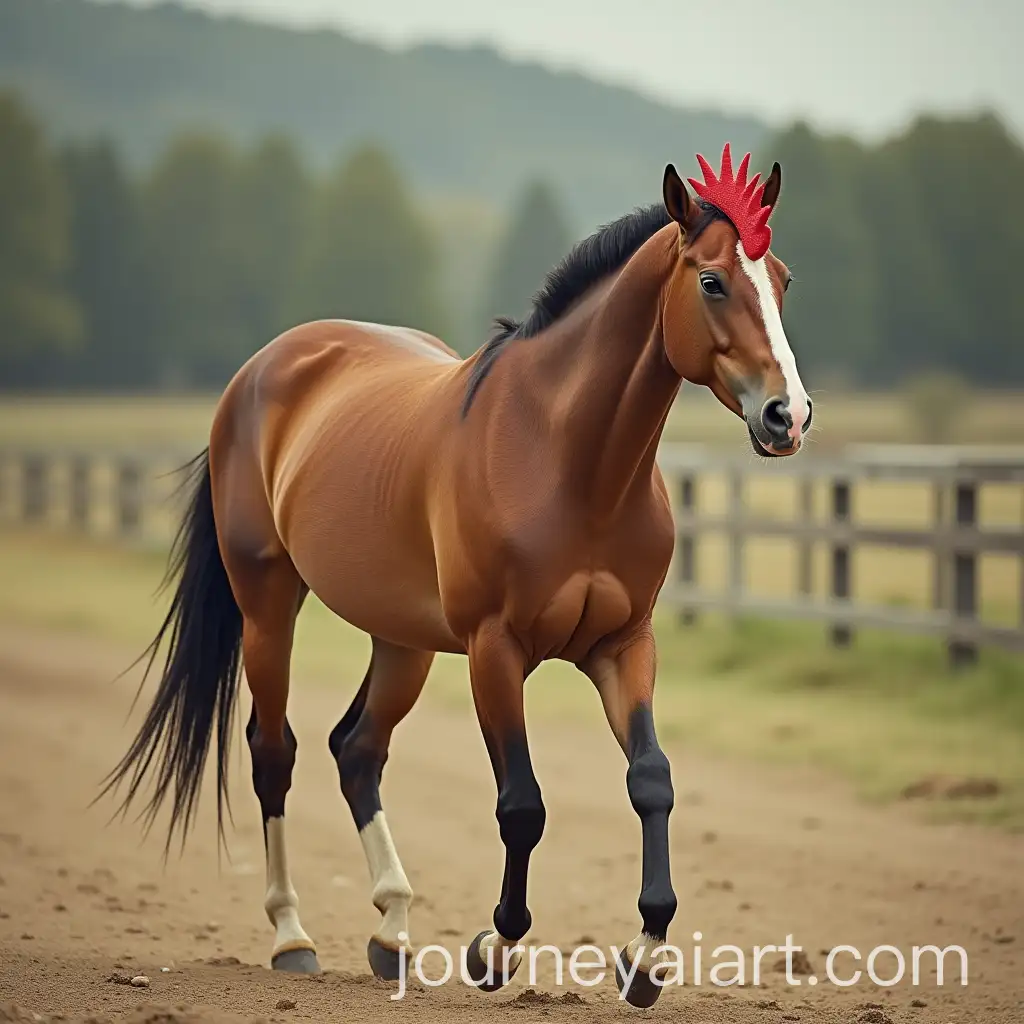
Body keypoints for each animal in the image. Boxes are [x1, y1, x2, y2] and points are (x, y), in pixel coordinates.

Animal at [103, 143, 811, 1007]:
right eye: (711, 281)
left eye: (782, 279)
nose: (788, 416)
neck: (567, 460)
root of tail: (262, 370)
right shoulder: (493, 651)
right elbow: (522, 805)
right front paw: (494, 948)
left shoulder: (624, 646)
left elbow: (652, 779)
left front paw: (645, 956)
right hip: (268, 608)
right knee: (276, 753)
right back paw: (293, 937)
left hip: (401, 640)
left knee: (357, 750)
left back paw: (393, 931)